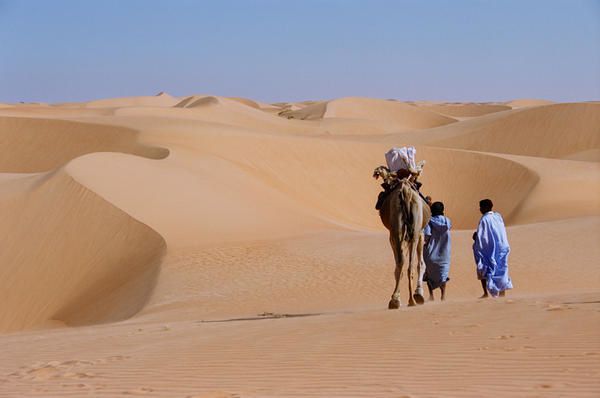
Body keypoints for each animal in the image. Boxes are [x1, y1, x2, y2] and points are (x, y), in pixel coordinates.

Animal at [372, 166, 428, 310]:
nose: (375, 173)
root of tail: (405, 191)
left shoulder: (399, 235)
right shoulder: (420, 233)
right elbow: (421, 264)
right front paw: (419, 293)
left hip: (400, 230)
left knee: (403, 263)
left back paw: (398, 300)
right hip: (410, 232)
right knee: (408, 264)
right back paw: (409, 300)